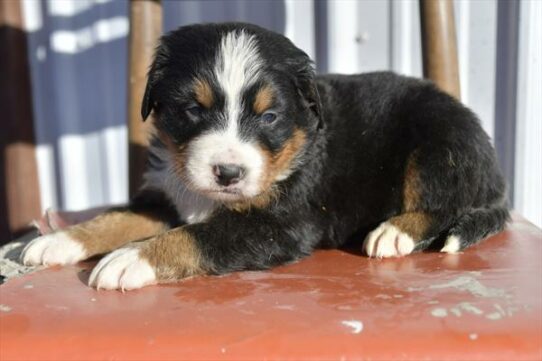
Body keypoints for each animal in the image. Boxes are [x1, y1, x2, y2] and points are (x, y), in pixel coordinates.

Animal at [18, 21, 510, 290]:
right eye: (193, 110)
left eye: (269, 116)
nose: (228, 172)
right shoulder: (167, 194)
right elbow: (117, 217)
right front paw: (60, 239)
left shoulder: (283, 223)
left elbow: (198, 235)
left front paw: (130, 260)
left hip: (438, 142)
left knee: (443, 203)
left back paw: (393, 233)